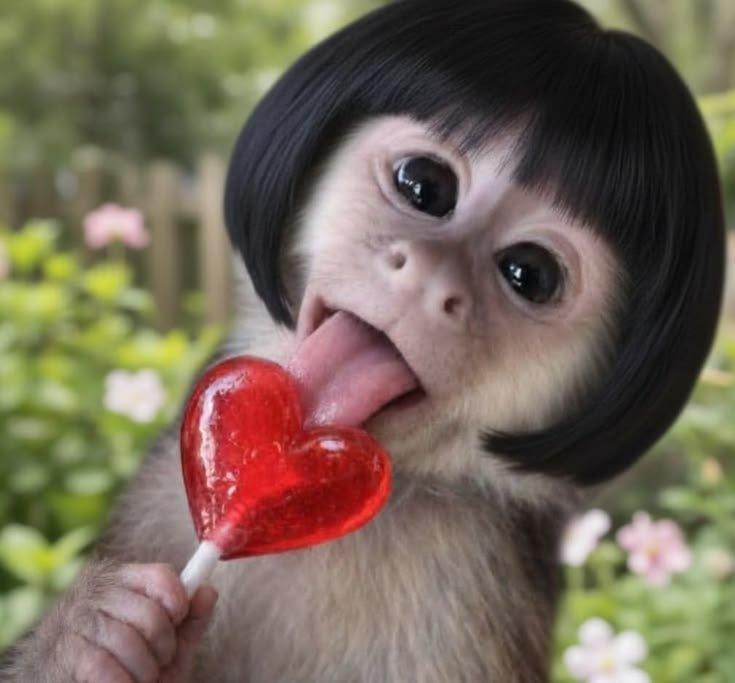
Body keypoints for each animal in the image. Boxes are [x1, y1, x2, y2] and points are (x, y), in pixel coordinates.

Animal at [1, 0, 725, 681]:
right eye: (424, 185)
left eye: (530, 273)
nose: (432, 279)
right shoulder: (160, 497)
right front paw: (93, 638)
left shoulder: (473, 582)